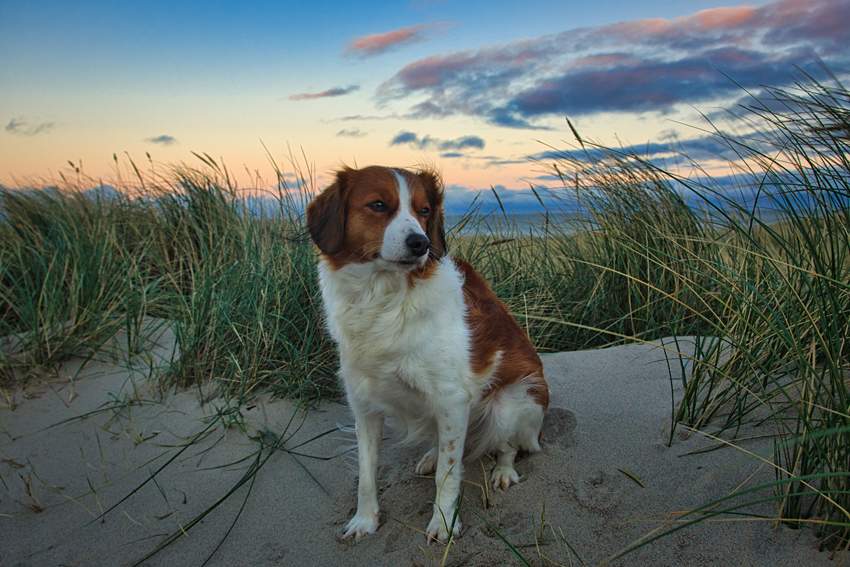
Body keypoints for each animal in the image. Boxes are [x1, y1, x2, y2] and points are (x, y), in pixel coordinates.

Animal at [304, 166, 548, 544]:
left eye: (424, 211)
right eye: (377, 205)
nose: (421, 243)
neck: (383, 298)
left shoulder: (452, 399)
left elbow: (448, 476)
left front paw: (444, 524)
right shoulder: (364, 405)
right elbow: (367, 474)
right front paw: (365, 520)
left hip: (512, 403)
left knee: (506, 445)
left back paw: (503, 471)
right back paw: (432, 455)